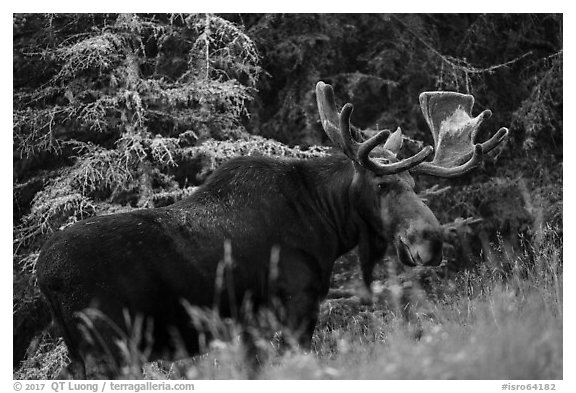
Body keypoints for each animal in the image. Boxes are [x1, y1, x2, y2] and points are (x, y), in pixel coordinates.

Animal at [31, 82, 508, 376]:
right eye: (382, 184)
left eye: (415, 183)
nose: (431, 241)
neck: (327, 222)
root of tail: (42, 274)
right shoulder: (298, 302)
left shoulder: (247, 326)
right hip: (108, 346)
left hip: (83, 353)